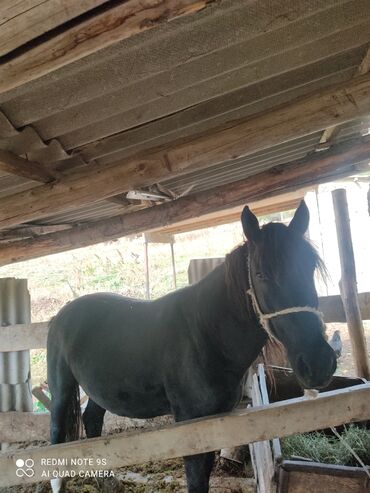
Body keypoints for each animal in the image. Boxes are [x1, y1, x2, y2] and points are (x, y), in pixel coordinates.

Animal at [45, 201, 336, 492]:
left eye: (310, 267)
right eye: (261, 274)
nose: (319, 364)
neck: (206, 335)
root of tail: (59, 316)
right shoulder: (190, 424)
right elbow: (197, 481)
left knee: (92, 422)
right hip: (61, 392)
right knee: (57, 439)